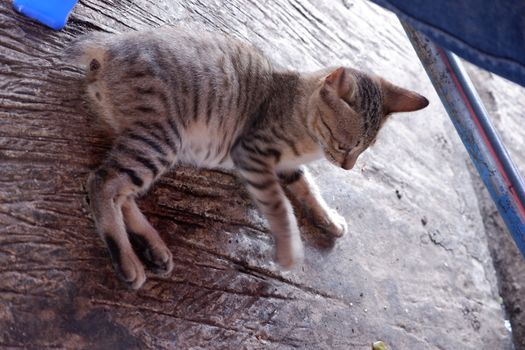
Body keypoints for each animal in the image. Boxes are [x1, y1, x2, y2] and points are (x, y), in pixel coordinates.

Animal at [72, 25, 426, 290]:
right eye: (344, 145)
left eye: (363, 149)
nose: (347, 166)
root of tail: (108, 46)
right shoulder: (253, 155)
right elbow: (280, 207)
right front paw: (289, 251)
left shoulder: (288, 167)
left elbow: (308, 187)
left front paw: (328, 217)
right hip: (161, 140)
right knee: (101, 182)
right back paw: (129, 261)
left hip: (148, 143)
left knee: (120, 192)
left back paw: (153, 248)